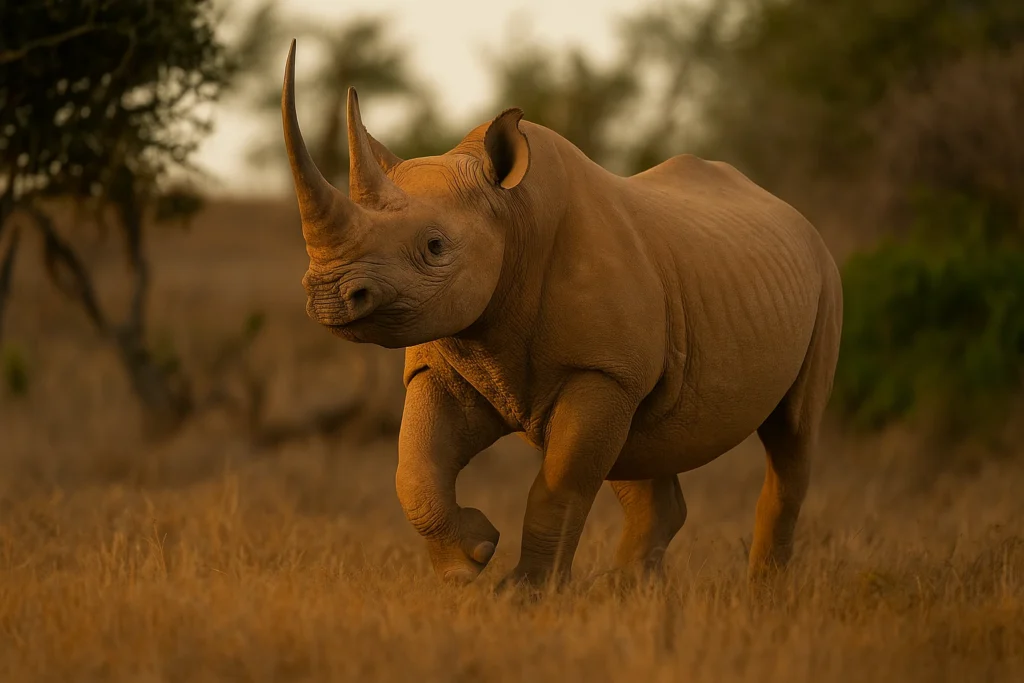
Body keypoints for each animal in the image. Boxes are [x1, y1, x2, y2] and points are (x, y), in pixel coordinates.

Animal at [281, 40, 843, 591]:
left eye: (435, 247)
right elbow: (415, 470)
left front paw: (525, 595)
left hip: (824, 278)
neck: (510, 216)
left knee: (792, 435)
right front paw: (470, 559)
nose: (328, 294)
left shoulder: (601, 371)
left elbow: (560, 486)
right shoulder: (447, 361)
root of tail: (795, 216)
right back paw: (629, 591)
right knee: (639, 448)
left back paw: (763, 593)